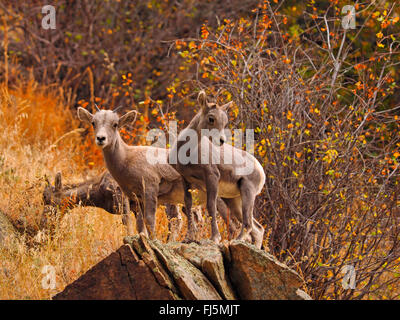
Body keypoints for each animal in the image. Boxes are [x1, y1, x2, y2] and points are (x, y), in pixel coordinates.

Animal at [169, 90, 266, 248]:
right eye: (211, 118)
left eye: (225, 122)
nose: (221, 141)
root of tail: (261, 171)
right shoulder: (186, 180)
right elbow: (188, 205)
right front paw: (188, 238)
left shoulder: (212, 177)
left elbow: (211, 206)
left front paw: (215, 238)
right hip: (234, 201)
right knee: (258, 229)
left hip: (247, 192)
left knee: (248, 224)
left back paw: (235, 241)